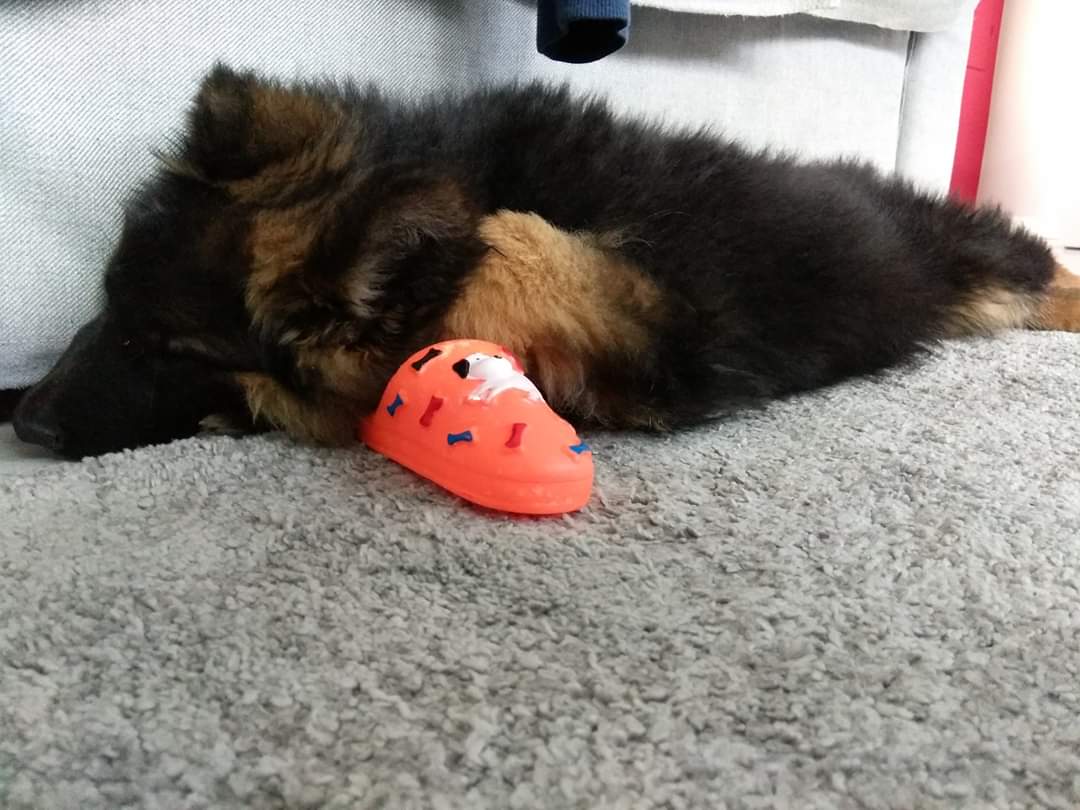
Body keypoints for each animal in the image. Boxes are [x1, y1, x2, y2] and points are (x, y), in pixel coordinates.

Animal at [13, 63, 1080, 459]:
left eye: (169, 349)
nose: (20, 421)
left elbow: (510, 237)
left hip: (970, 255)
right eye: (105, 308)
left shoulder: (671, 320)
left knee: (1037, 264)